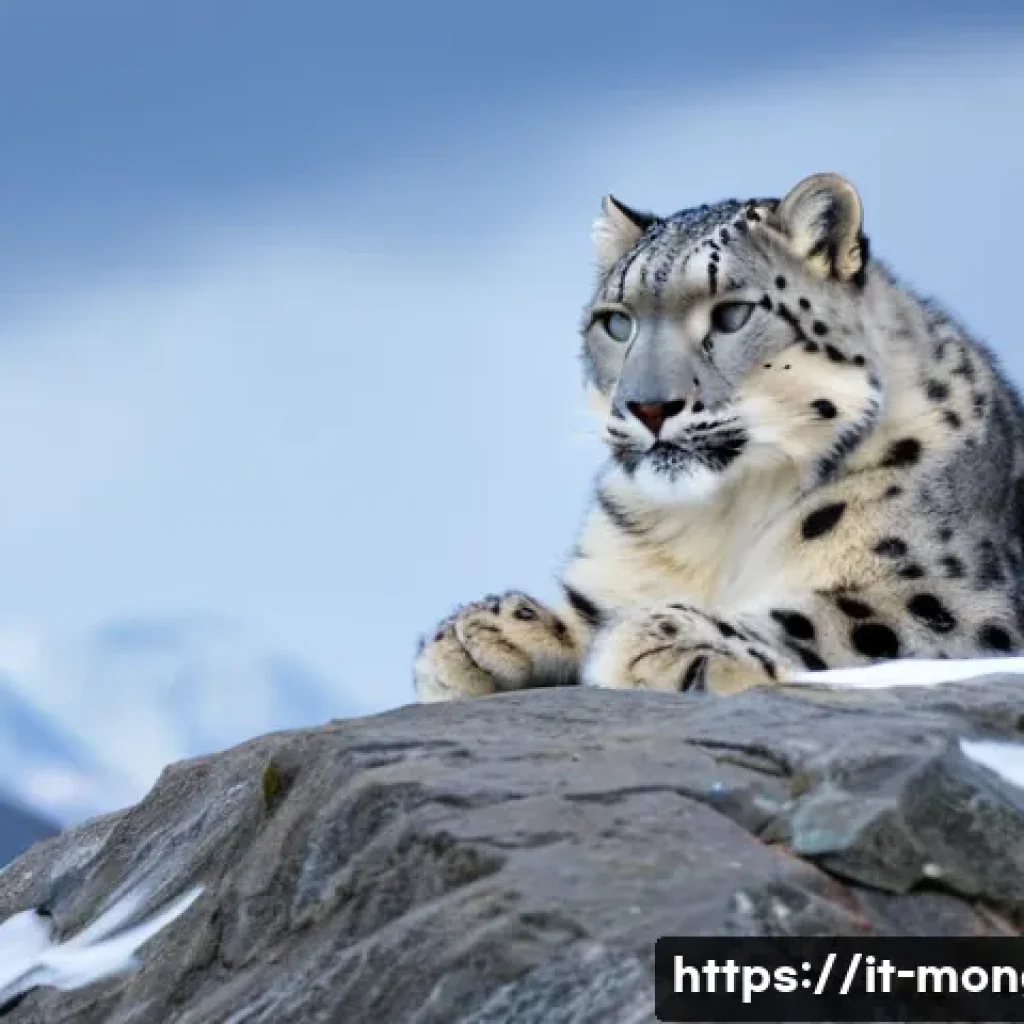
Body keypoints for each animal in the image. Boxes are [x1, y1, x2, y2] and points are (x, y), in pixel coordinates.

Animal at [413, 173, 1024, 702]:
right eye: (617, 321)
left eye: (732, 314)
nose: (649, 407)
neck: (723, 518)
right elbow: (592, 607)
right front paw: (489, 633)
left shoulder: (958, 598)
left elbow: (853, 617)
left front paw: (667, 640)